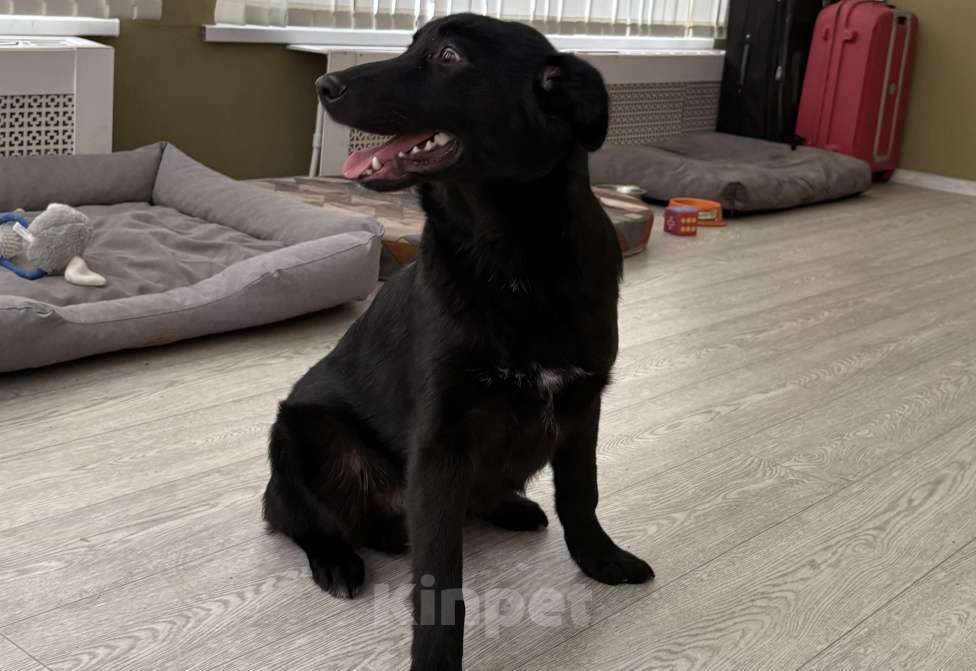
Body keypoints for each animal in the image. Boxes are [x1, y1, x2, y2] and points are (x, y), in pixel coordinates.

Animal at [264, 13, 654, 669]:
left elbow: (582, 495)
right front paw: (436, 659)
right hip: (300, 433)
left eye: (448, 56)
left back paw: (511, 506)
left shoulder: (583, 405)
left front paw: (599, 560)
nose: (325, 85)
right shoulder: (440, 442)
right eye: (410, 45)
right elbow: (441, 578)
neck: (514, 261)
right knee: (298, 515)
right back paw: (338, 560)